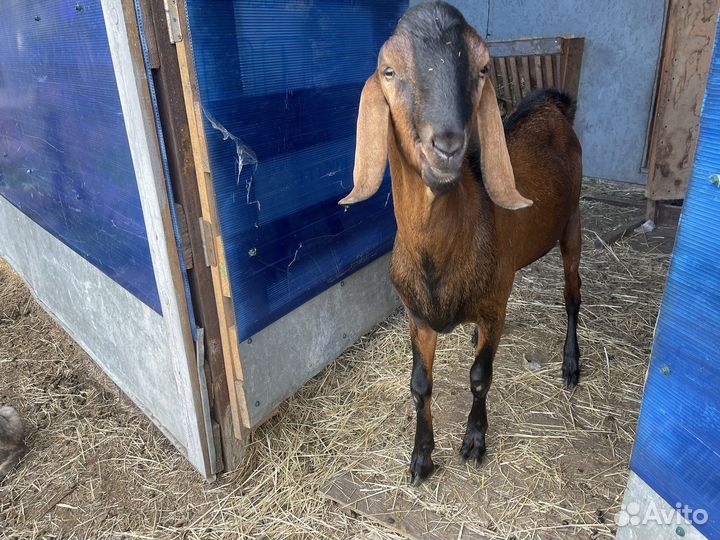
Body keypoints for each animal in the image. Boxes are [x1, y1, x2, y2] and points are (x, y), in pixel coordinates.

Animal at [339, 1, 582, 485]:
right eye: (388, 70)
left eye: (483, 67)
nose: (447, 144)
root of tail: (552, 105)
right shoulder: (417, 316)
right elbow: (419, 385)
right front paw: (421, 458)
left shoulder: (491, 308)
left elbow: (479, 376)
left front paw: (473, 441)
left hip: (573, 224)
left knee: (572, 295)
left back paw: (571, 364)